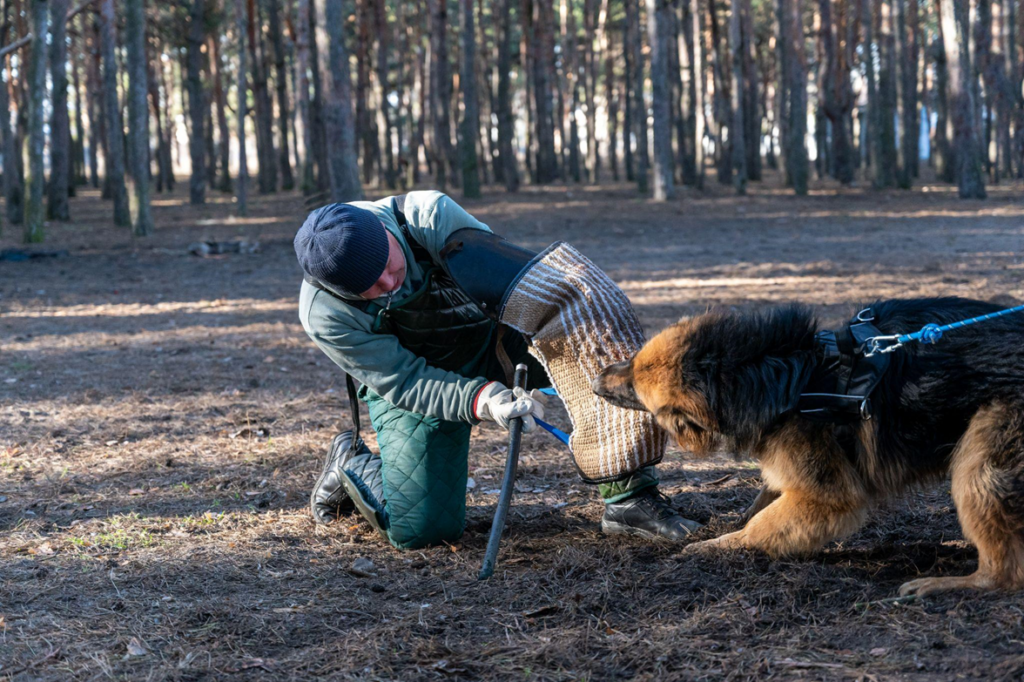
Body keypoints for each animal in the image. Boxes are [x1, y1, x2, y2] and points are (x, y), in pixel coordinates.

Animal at [593, 296, 1024, 593]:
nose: (596, 379)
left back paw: (945, 585)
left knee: (1003, 573)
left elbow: (763, 525)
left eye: (634, 386)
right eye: (631, 361)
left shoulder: (827, 494)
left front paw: (720, 545)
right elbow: (760, 506)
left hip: (979, 464)